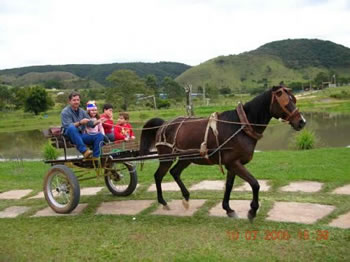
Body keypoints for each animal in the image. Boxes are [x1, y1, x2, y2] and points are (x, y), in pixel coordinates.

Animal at [139, 86, 306, 221]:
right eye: (285, 101)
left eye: (294, 99)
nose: (302, 122)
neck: (241, 126)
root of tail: (164, 124)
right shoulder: (234, 163)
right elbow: (255, 184)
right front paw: (252, 210)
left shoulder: (232, 164)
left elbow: (229, 185)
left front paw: (228, 209)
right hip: (166, 158)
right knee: (158, 176)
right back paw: (163, 202)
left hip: (186, 158)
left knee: (175, 172)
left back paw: (186, 197)